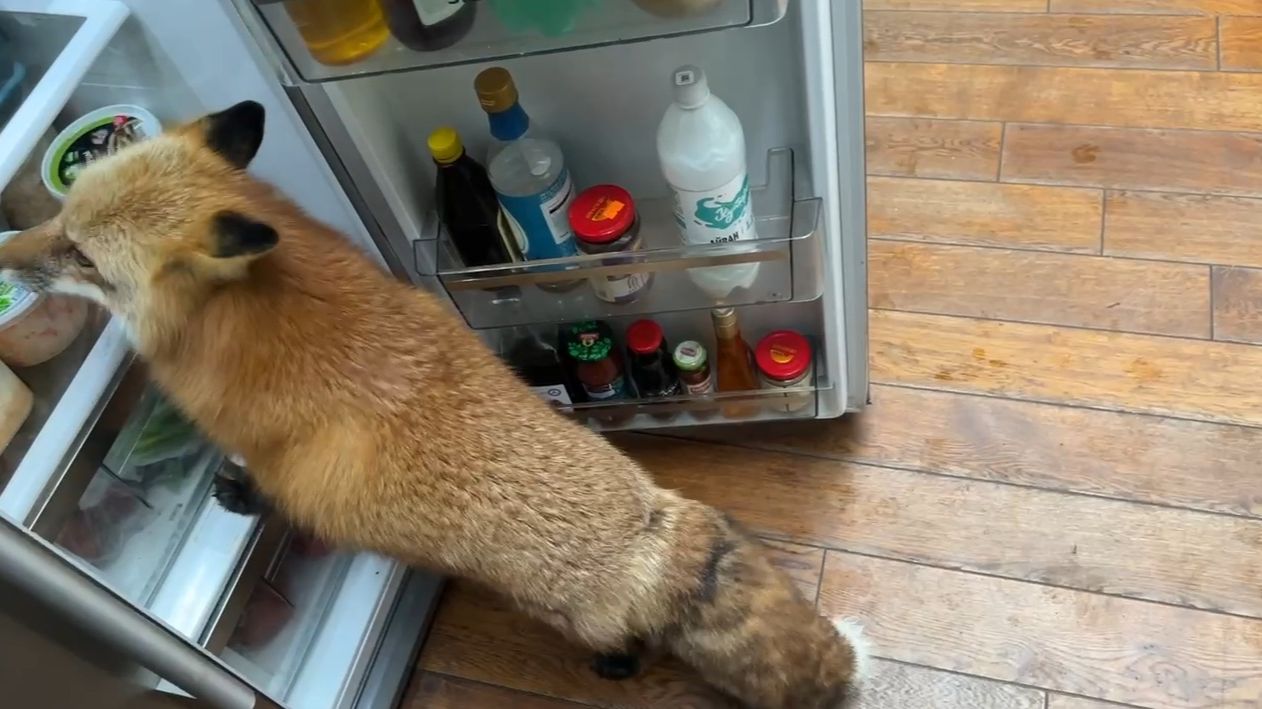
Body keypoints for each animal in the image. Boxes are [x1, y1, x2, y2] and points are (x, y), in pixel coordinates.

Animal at [0, 101, 869, 707]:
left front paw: (239, 494)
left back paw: (612, 664)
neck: (255, 316)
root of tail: (661, 526)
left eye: (82, 256)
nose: (5, 253)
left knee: (633, 648)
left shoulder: (288, 464)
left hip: (579, 617)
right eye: (62, 216)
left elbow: (268, 490)